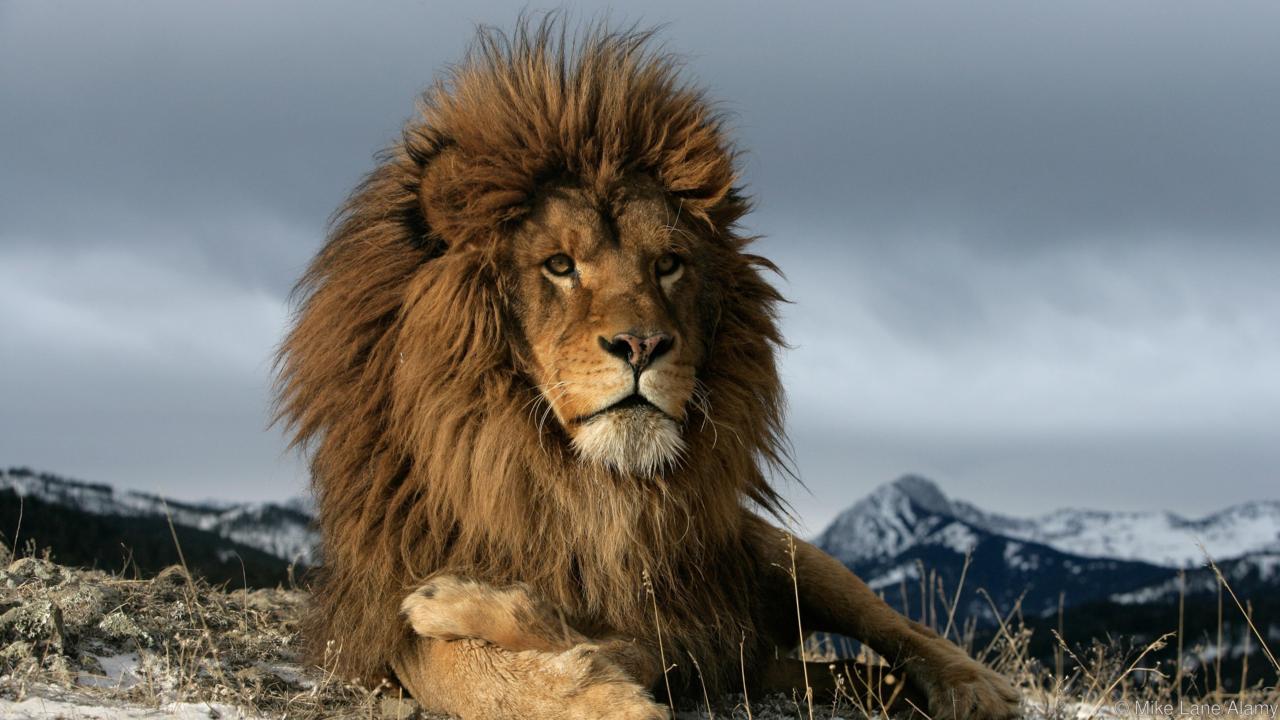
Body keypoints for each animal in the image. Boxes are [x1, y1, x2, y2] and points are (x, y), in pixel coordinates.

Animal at [276, 18, 1020, 720]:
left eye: (667, 264)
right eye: (559, 265)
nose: (641, 345)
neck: (583, 487)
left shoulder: (686, 621)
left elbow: (602, 639)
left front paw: (488, 616)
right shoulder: (381, 611)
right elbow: (468, 671)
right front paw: (587, 686)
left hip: (785, 556)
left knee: (904, 631)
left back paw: (978, 688)